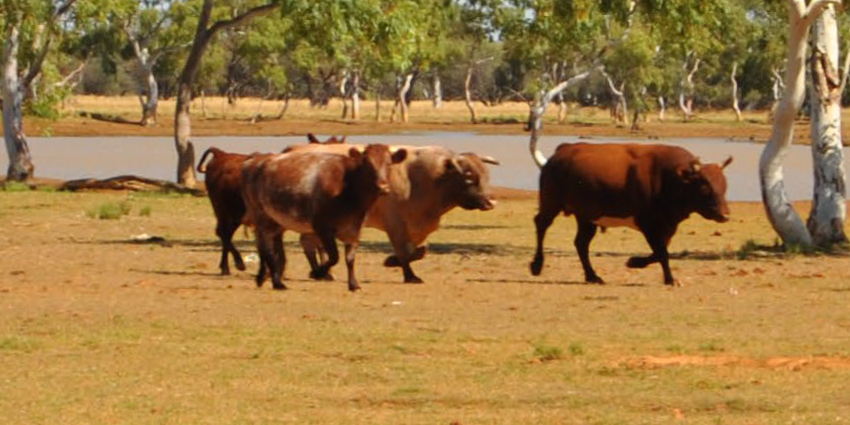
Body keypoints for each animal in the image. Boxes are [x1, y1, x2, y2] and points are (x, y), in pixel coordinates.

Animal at [197, 134, 344, 275]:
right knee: (223, 233)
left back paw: (225, 267)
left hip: (234, 215)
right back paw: (235, 264)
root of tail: (221, 154)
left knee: (225, 234)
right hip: (225, 212)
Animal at [240, 144, 407, 291]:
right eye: (367, 164)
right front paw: (318, 272)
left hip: (276, 221)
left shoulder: (355, 229)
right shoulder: (322, 227)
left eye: (389, 164)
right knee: (266, 248)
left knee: (274, 248)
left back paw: (267, 278)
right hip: (261, 216)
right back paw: (275, 282)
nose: (383, 187)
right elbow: (334, 257)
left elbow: (350, 258)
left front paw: (353, 284)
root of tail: (255, 160)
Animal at [285, 143, 499, 283]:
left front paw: (392, 261)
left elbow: (417, 251)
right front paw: (409, 275)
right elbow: (405, 251)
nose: (489, 202)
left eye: (486, 176)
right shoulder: (395, 225)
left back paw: (321, 273)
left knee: (308, 242)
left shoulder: (417, 228)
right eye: (469, 178)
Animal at [529, 142, 732, 286]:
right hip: (551, 203)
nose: (725, 215)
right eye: (705, 187)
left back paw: (592, 276)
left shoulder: (666, 226)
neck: (671, 178)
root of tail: (563, 150)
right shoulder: (649, 224)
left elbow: (659, 252)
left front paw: (635, 262)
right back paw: (537, 265)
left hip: (586, 217)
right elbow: (662, 253)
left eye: (724, 185)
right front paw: (669, 279)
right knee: (541, 224)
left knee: (581, 243)